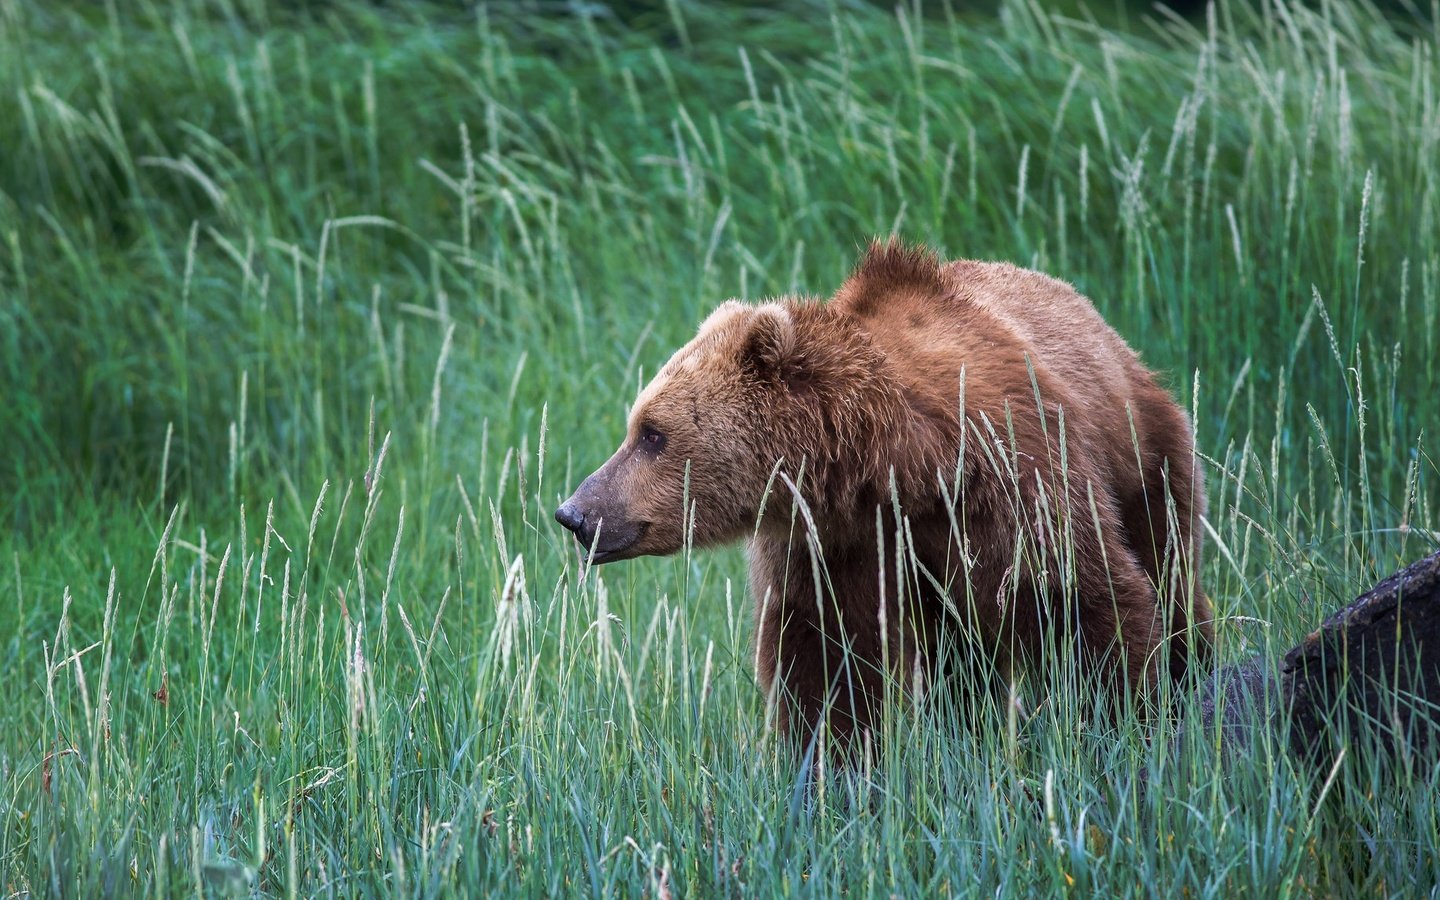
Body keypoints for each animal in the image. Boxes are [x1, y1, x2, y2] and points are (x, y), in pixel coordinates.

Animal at [555, 241, 1209, 748]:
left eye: (652, 433)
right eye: (637, 426)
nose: (575, 512)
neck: (893, 467)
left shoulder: (1008, 478)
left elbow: (1082, 599)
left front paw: (1130, 722)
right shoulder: (828, 540)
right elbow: (823, 660)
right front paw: (825, 776)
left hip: (1144, 456)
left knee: (1168, 569)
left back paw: (1194, 674)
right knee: (961, 659)